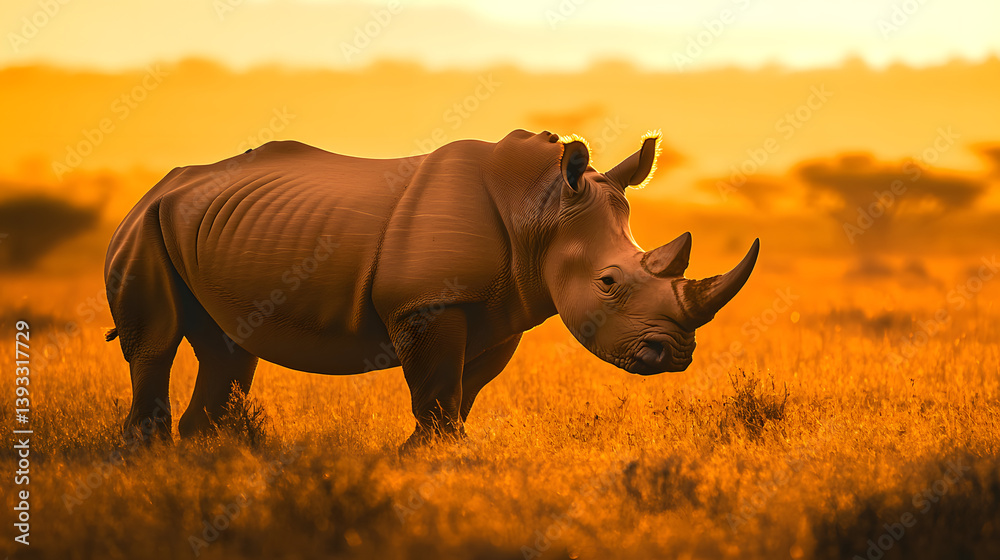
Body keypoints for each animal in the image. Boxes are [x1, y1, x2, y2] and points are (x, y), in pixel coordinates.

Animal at [105, 129, 758, 447]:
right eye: (607, 282)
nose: (674, 355)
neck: (540, 211)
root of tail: (159, 185)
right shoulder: (427, 301)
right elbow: (438, 381)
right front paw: (431, 458)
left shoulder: (499, 310)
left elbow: (464, 386)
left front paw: (442, 455)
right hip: (144, 222)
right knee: (156, 345)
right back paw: (150, 456)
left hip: (202, 223)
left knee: (228, 347)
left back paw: (207, 455)